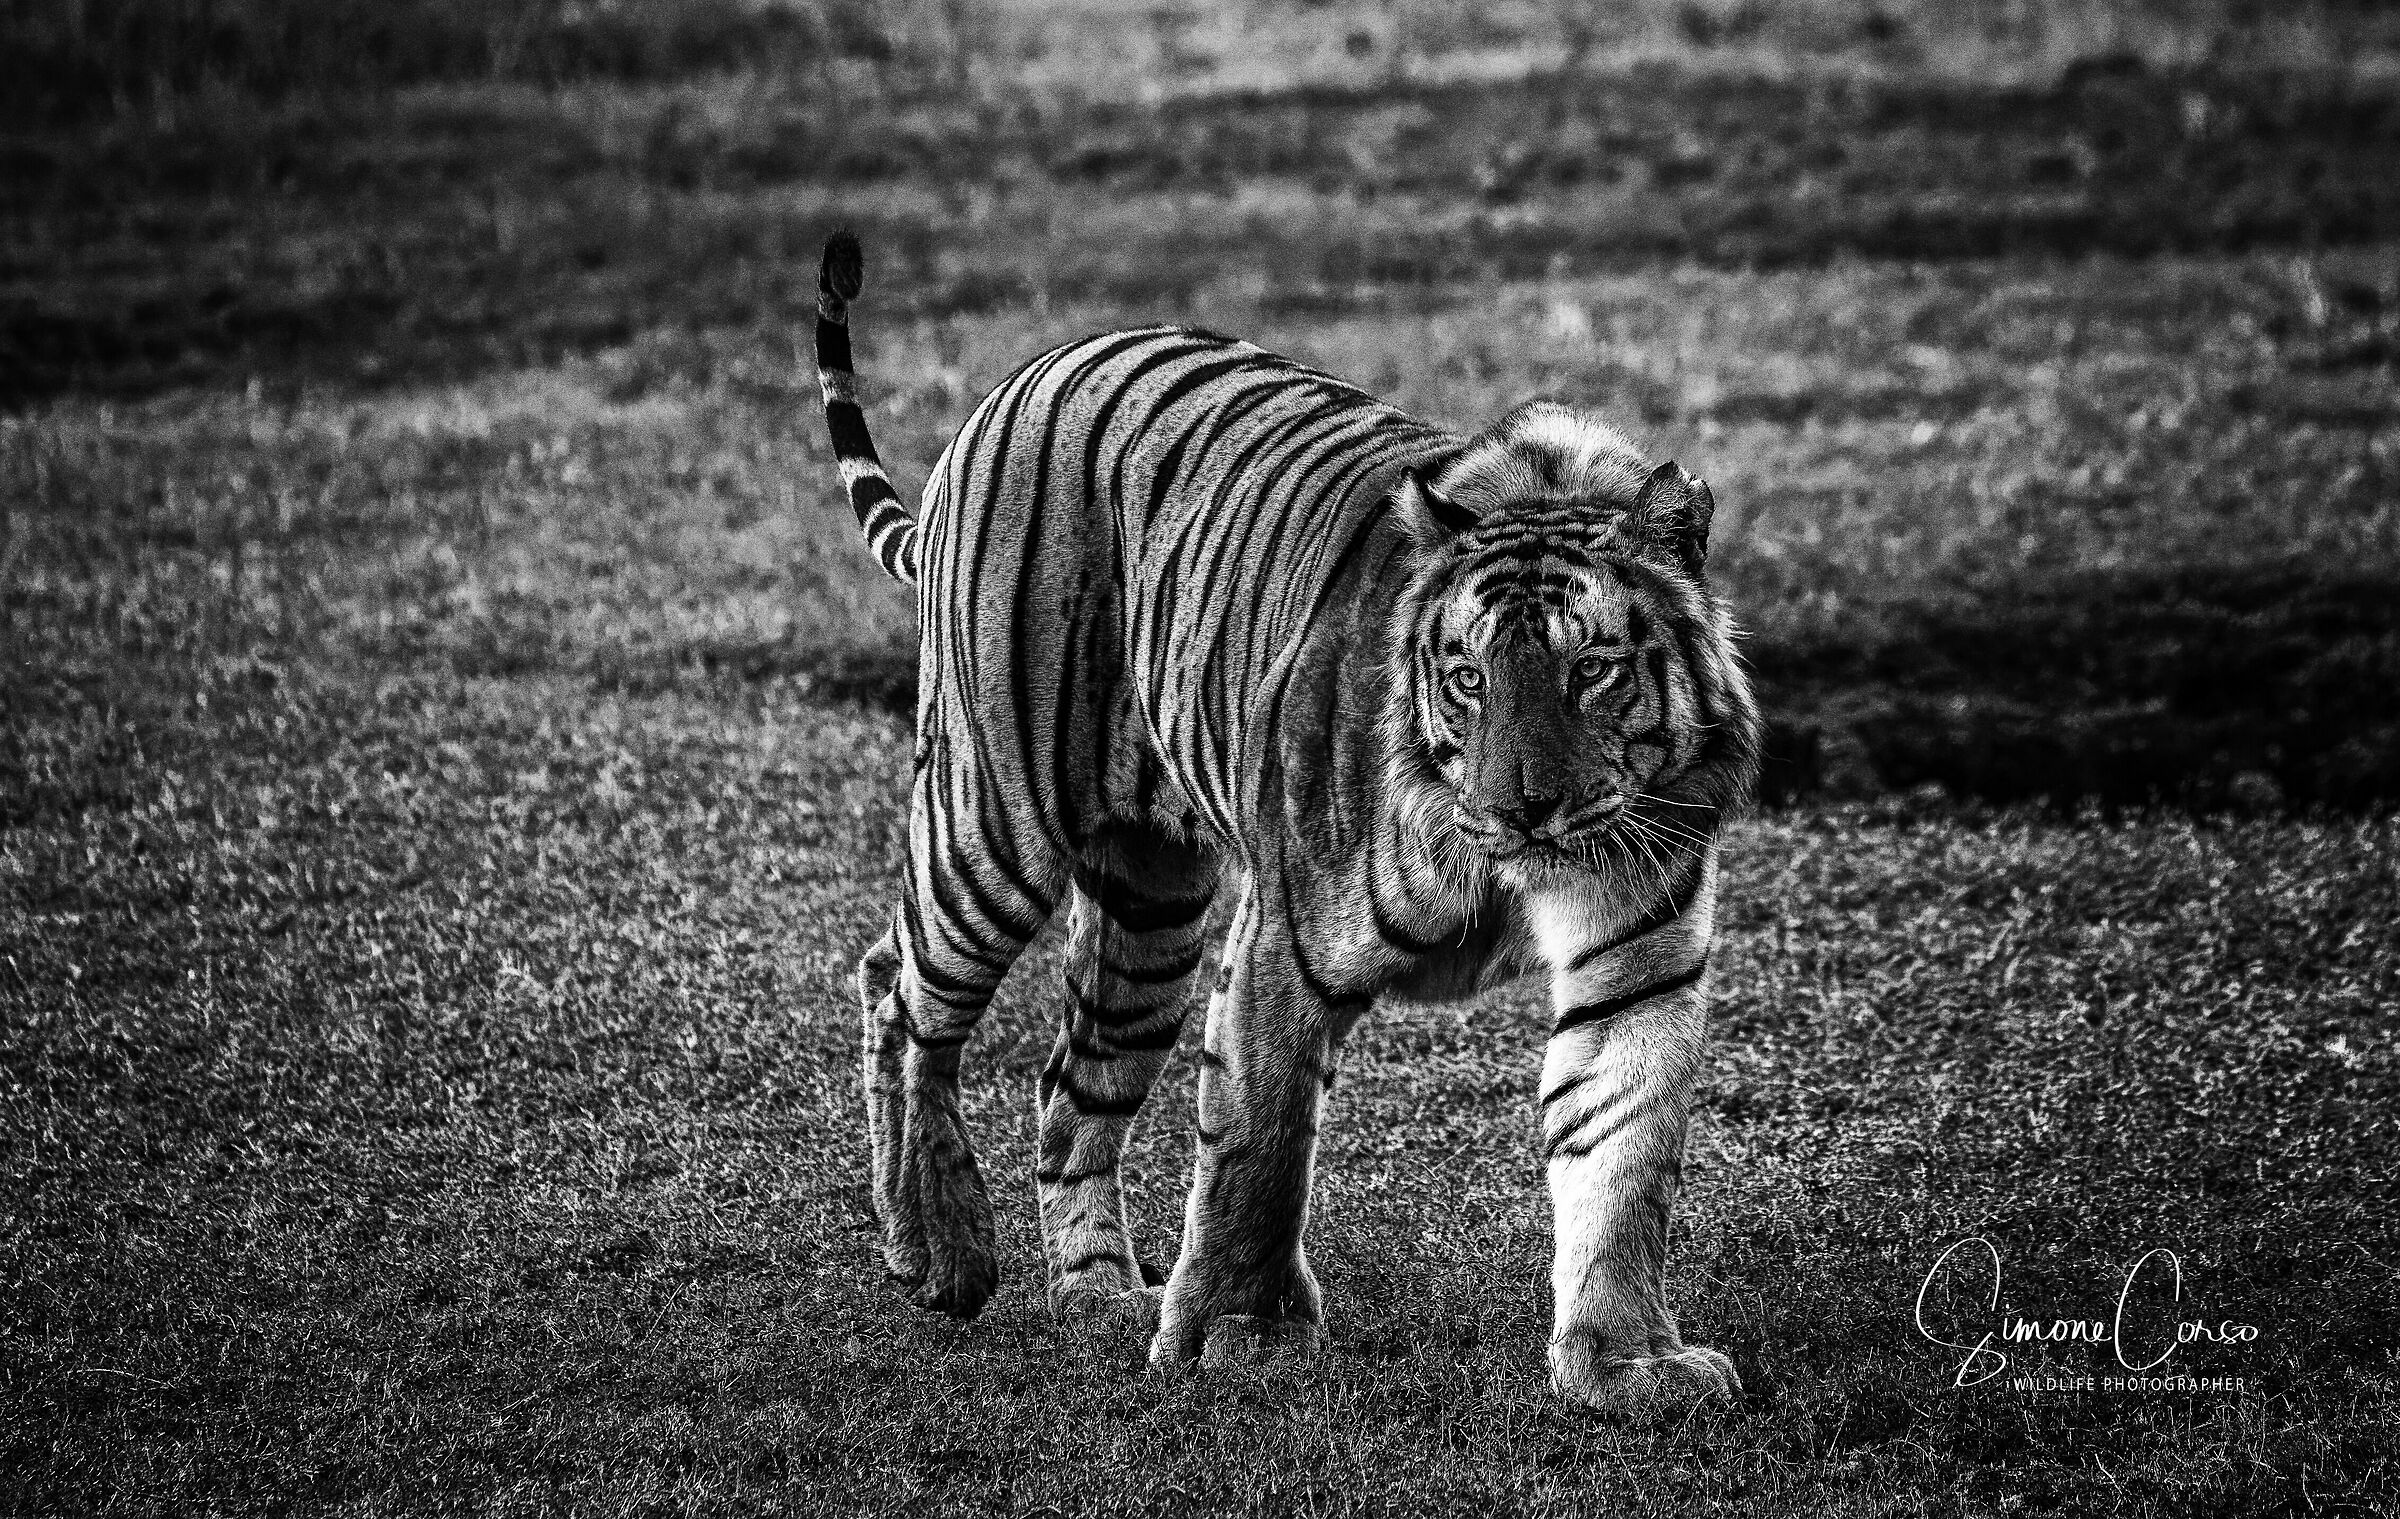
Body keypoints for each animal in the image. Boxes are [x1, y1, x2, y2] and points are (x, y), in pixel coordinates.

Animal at [814, 231, 1762, 1420]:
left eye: (1590, 670)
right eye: (1468, 677)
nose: (1523, 808)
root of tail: (1017, 377)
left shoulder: (1638, 954)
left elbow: (1621, 1155)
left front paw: (1627, 1360)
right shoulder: (1286, 939)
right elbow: (1256, 1143)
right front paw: (1240, 1334)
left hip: (1151, 910)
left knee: (1069, 1088)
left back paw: (1097, 1292)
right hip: (996, 817)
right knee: (899, 991)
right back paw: (938, 1251)